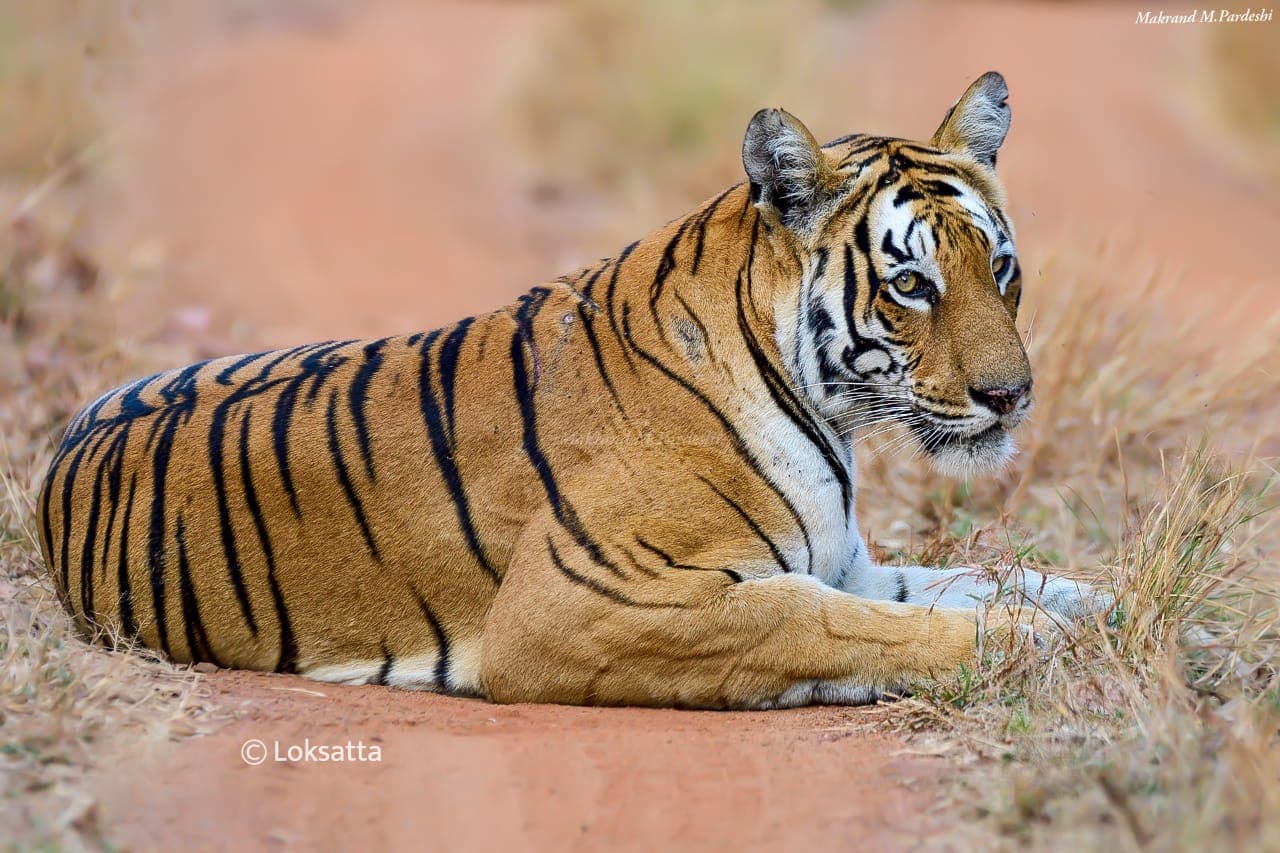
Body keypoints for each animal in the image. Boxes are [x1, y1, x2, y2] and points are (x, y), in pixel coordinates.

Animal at [40, 73, 1111, 706]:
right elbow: (819, 623)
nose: (1013, 397)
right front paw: (1033, 640)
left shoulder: (842, 558)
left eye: (1000, 269)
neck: (819, 410)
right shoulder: (574, 607)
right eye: (912, 285)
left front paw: (1101, 606)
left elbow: (974, 579)